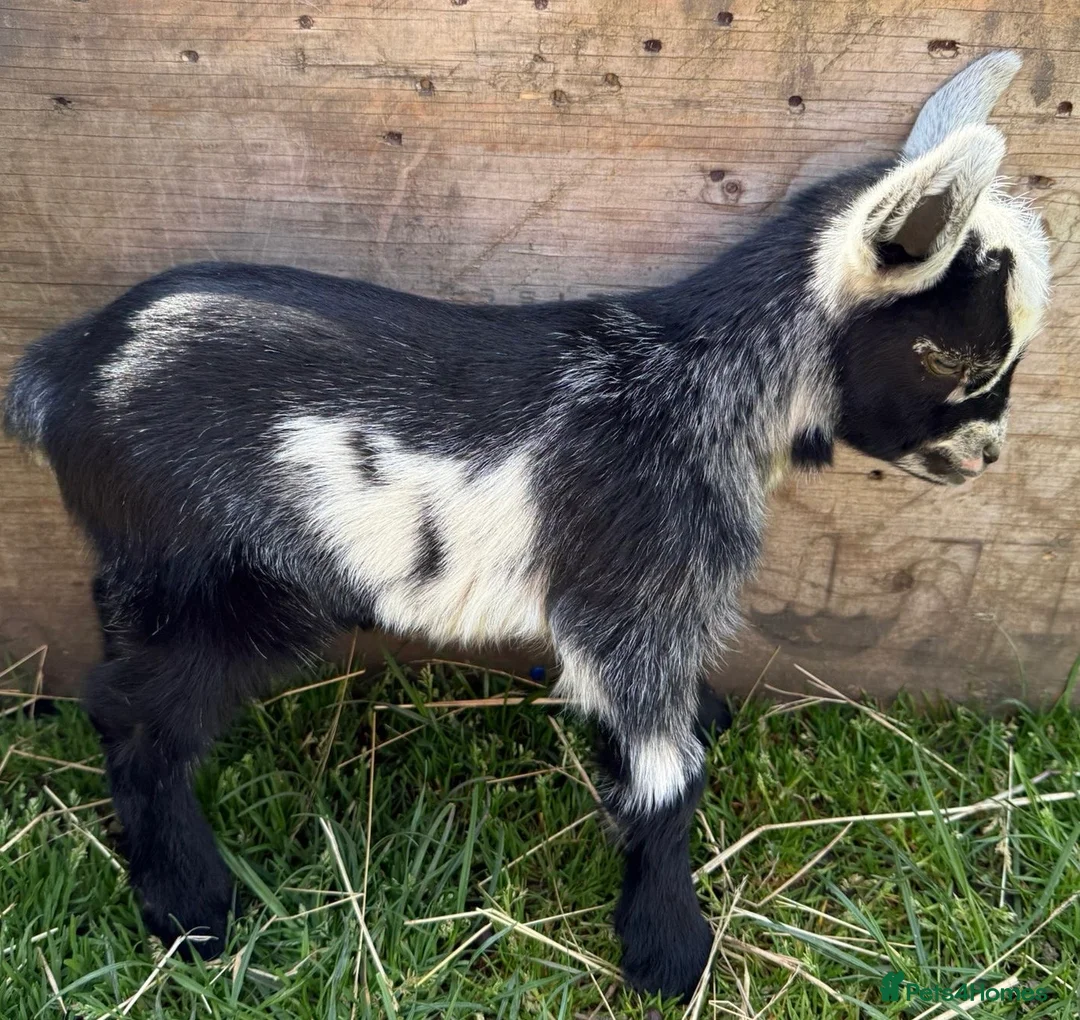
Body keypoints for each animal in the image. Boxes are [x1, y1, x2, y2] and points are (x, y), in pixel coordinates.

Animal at [3, 51, 1050, 1001]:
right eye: (947, 356)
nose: (988, 457)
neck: (697, 383)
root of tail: (65, 369)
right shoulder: (633, 599)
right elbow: (665, 779)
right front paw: (671, 956)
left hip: (147, 563)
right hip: (219, 573)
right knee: (135, 714)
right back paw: (192, 911)